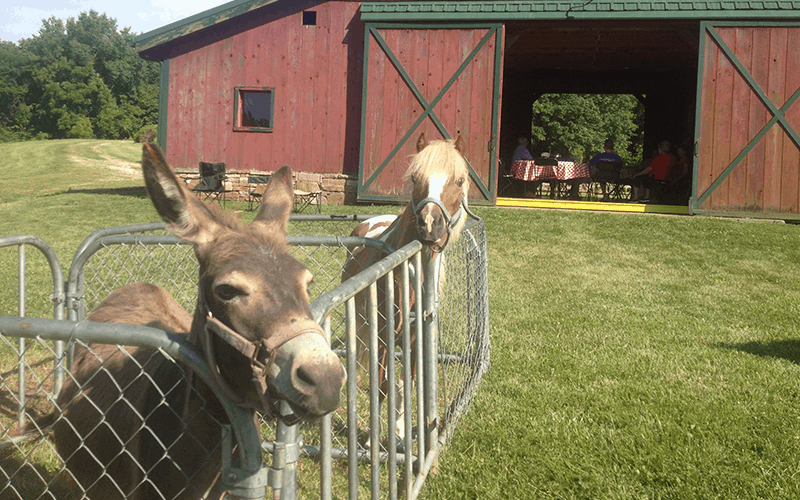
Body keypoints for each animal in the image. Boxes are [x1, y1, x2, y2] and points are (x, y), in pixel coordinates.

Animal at [344, 132, 468, 442]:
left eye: (459, 180)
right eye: (415, 177)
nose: (430, 224)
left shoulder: (415, 338)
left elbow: (406, 383)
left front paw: (400, 430)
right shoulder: (381, 337)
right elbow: (382, 385)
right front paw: (372, 438)